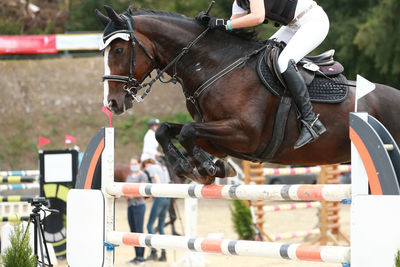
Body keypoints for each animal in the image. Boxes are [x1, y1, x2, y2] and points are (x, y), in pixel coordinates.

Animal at [96, 6, 400, 186]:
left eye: (119, 50)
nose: (112, 103)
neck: (215, 65)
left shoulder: (245, 133)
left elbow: (188, 131)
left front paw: (206, 167)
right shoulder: (218, 135)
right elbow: (168, 131)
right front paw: (195, 167)